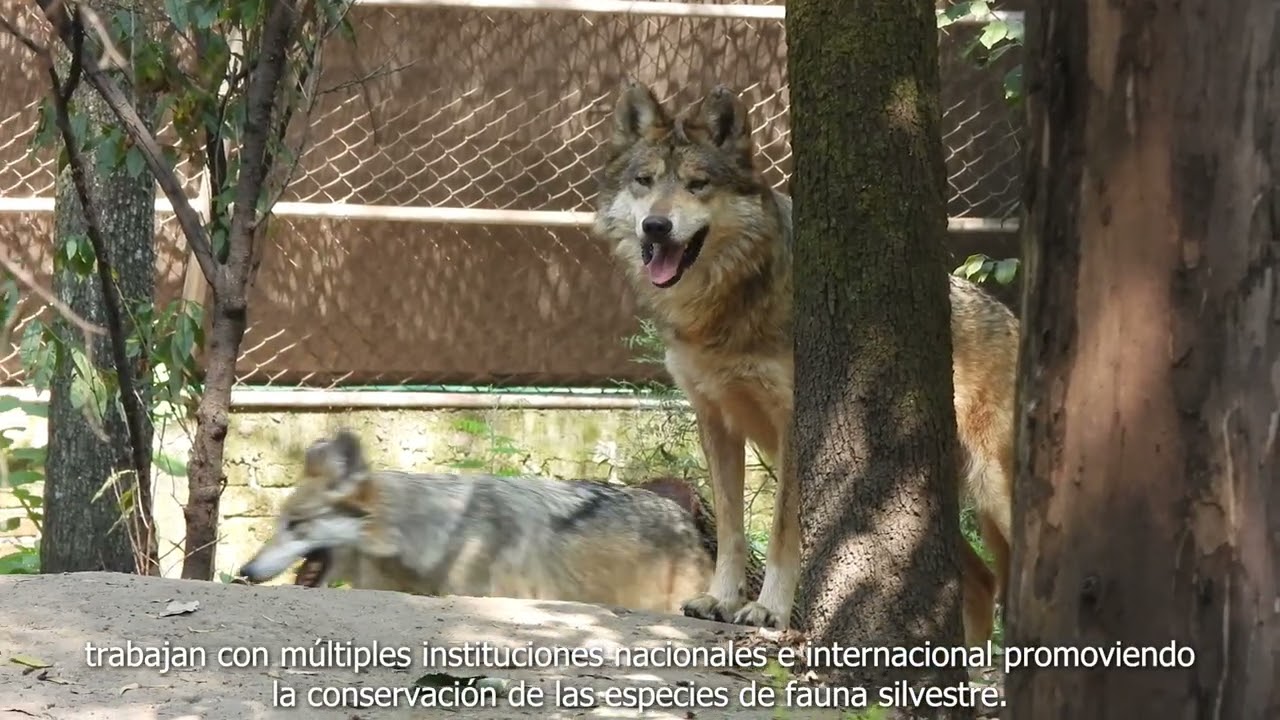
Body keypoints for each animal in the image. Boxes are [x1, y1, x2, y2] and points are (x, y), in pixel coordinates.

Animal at [592, 81, 1019, 645]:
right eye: (644, 182)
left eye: (698, 185)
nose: (656, 226)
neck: (726, 307)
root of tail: (1014, 319)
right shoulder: (714, 419)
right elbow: (730, 527)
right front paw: (721, 599)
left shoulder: (795, 422)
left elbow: (781, 531)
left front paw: (768, 610)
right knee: (982, 580)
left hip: (996, 494)